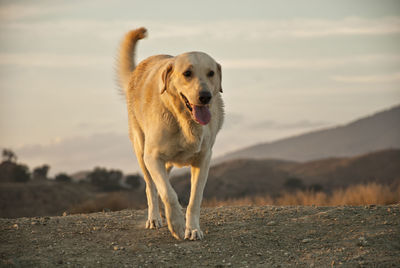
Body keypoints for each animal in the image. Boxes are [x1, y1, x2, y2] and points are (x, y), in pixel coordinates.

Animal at [117, 27, 225, 241]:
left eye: (211, 73)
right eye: (187, 73)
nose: (205, 96)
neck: (184, 120)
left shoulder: (203, 160)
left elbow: (194, 199)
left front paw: (192, 229)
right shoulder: (152, 157)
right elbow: (169, 193)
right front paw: (176, 223)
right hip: (141, 151)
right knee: (151, 187)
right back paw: (154, 218)